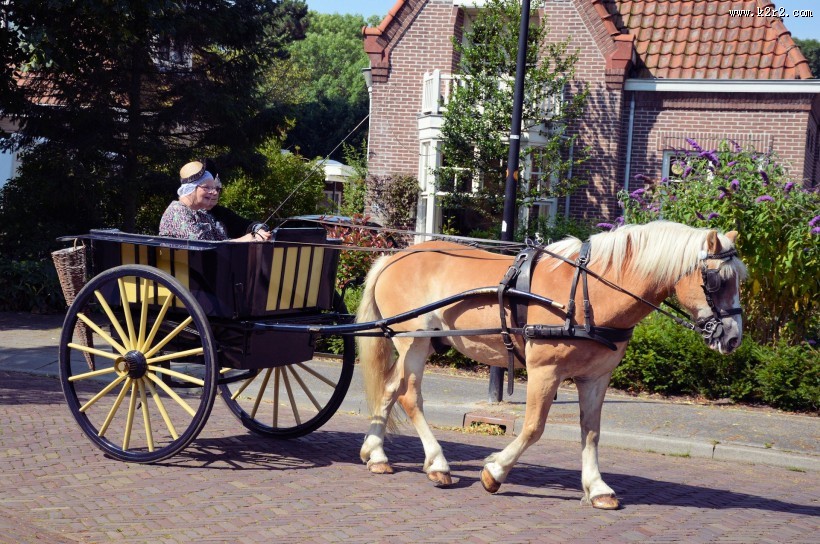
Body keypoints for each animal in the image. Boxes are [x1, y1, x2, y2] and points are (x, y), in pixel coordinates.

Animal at [355, 221, 746, 509]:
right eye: (717, 279)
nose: (733, 338)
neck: (590, 293)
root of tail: (394, 257)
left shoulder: (596, 377)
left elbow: (591, 432)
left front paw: (597, 487)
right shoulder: (545, 371)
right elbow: (533, 427)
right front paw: (494, 471)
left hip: (419, 343)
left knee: (390, 390)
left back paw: (376, 454)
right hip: (413, 341)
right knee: (409, 397)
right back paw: (437, 464)